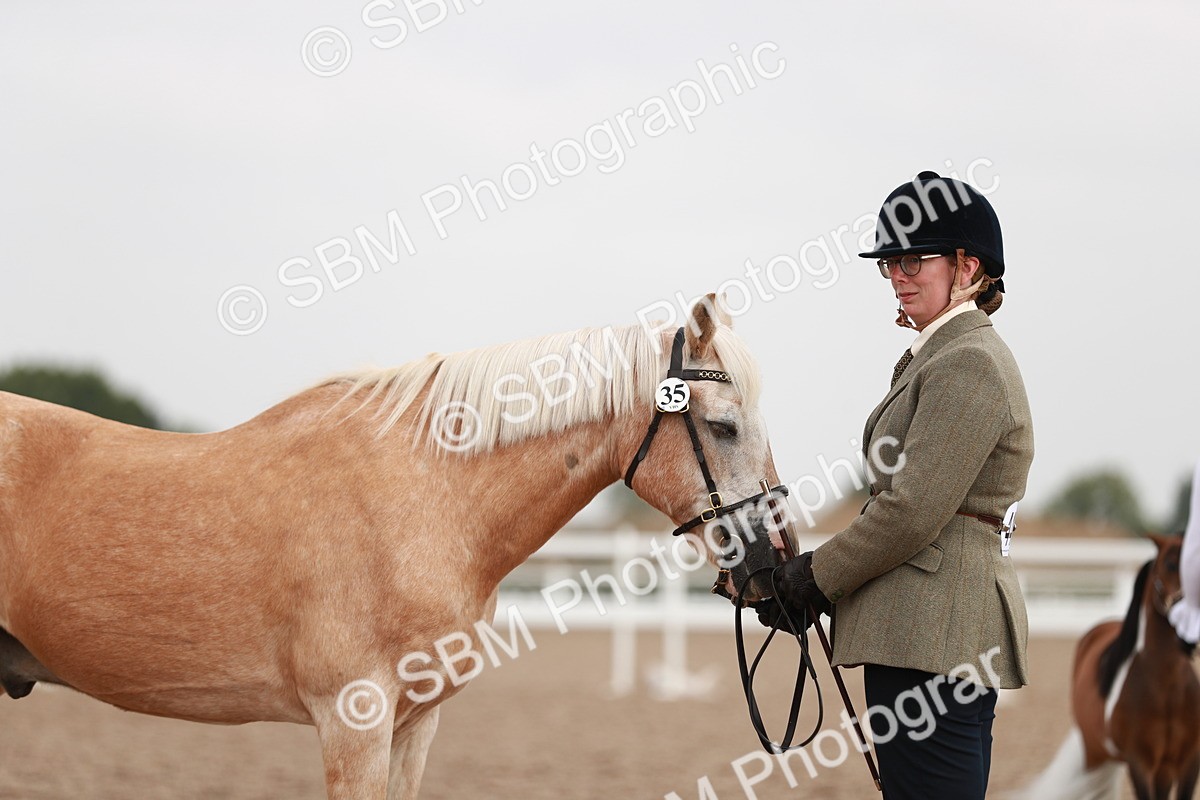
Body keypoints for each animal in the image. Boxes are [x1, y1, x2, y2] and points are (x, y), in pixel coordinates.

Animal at [1022, 534, 1200, 800]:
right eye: (1169, 565)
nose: (1188, 634)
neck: (1167, 689)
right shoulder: (1139, 763)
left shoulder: (1188, 762)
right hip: (1094, 755)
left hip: (1162, 770)